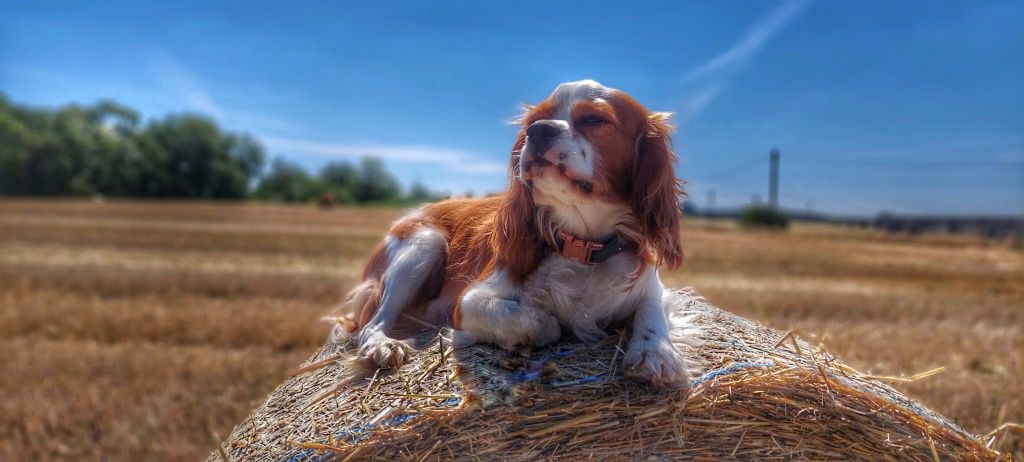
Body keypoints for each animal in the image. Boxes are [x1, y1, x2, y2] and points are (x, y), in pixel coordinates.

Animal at [344, 80, 688, 391]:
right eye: (535, 119)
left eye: (594, 119)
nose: (539, 130)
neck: (581, 244)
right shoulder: (468, 303)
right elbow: (532, 319)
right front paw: (548, 324)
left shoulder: (652, 287)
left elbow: (651, 310)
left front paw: (655, 353)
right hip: (425, 244)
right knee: (370, 324)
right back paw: (382, 345)